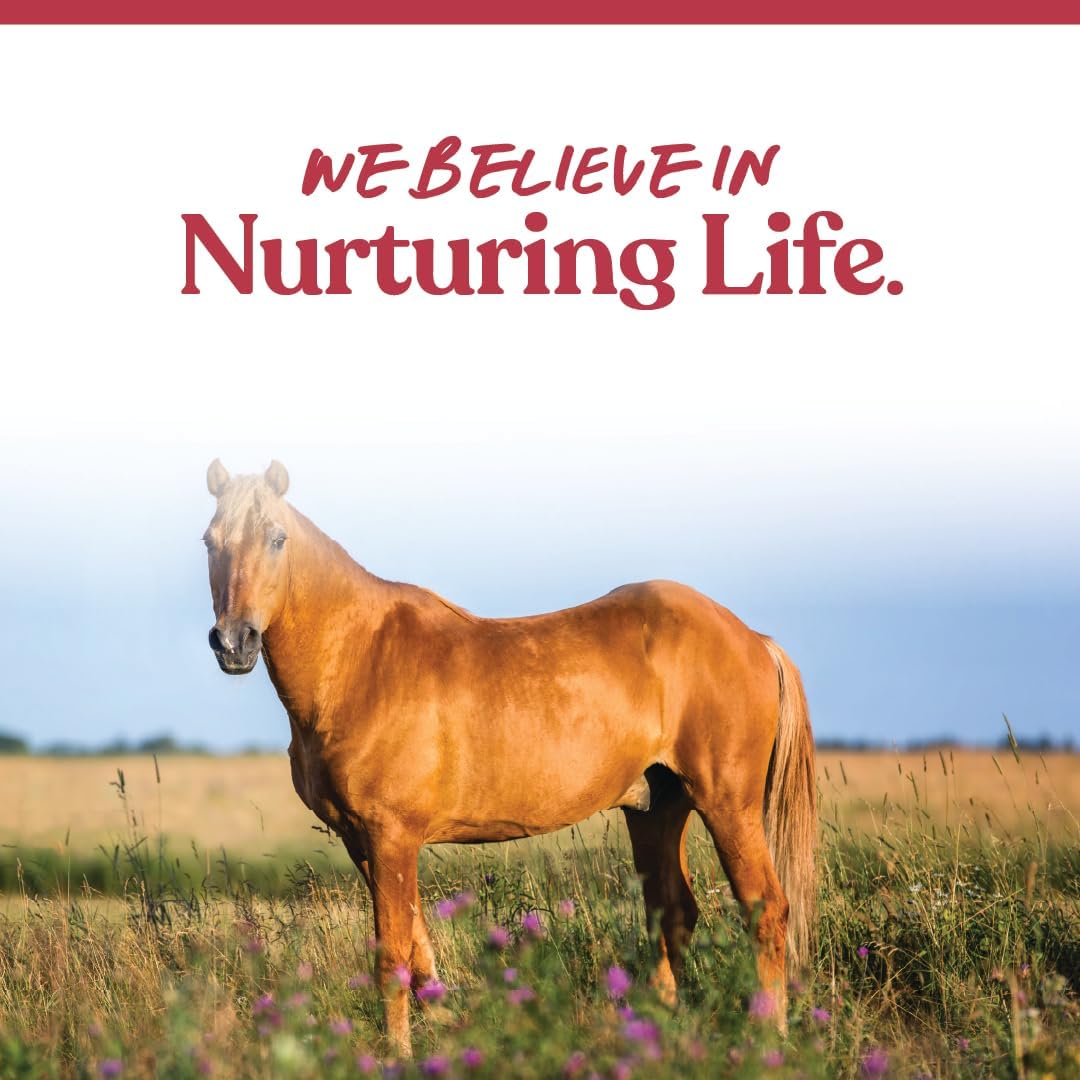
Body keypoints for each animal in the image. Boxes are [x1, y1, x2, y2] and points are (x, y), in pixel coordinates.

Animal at [203, 459, 818, 1055]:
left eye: (277, 538)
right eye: (210, 541)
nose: (234, 642)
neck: (360, 658)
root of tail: (752, 638)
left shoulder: (392, 838)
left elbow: (393, 959)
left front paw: (398, 1056)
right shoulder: (366, 843)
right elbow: (420, 955)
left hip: (728, 807)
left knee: (766, 909)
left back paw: (770, 1035)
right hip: (656, 810)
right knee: (672, 913)